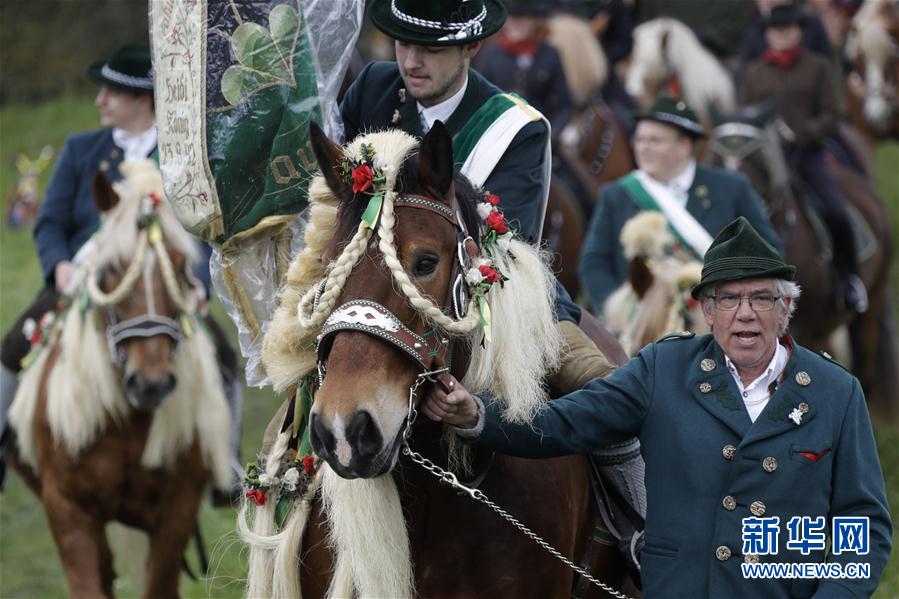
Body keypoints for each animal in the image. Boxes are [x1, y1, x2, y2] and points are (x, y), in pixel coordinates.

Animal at [7, 161, 232, 599]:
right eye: (112, 269)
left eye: (179, 267)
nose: (150, 384)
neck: (127, 423)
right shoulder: (68, 511)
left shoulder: (177, 512)